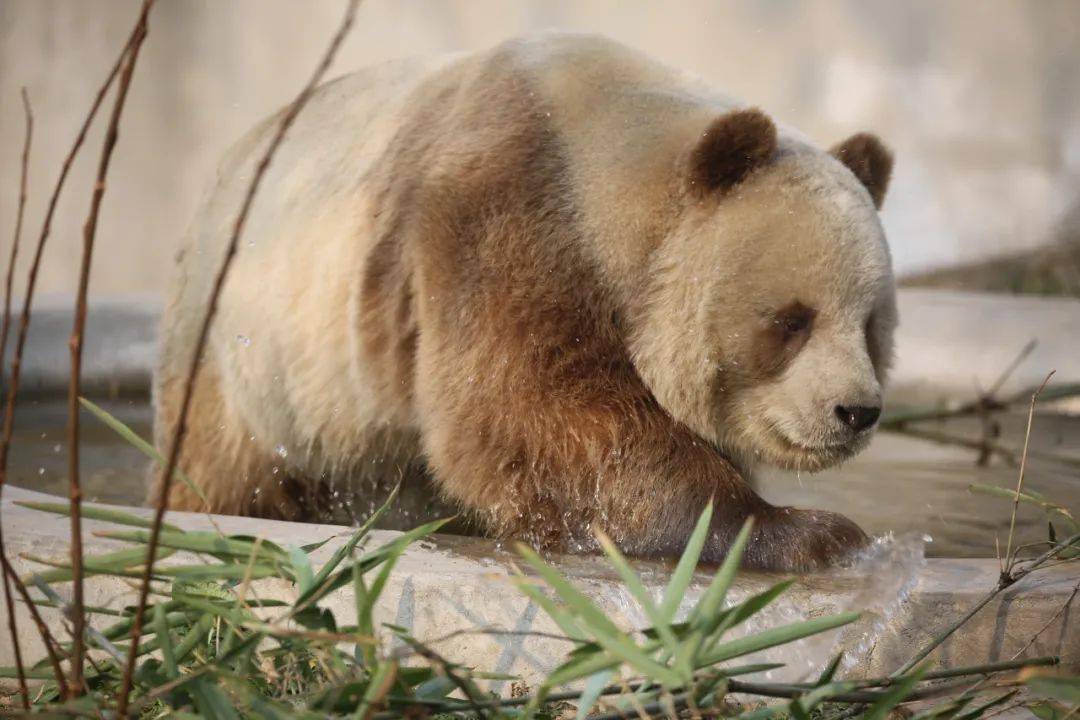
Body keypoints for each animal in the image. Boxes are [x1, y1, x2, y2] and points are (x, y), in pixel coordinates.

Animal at [153, 32, 896, 571]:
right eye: (791, 321)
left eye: (871, 326)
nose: (854, 412)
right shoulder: (506, 213)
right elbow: (539, 418)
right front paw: (803, 532)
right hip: (248, 349)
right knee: (231, 464)